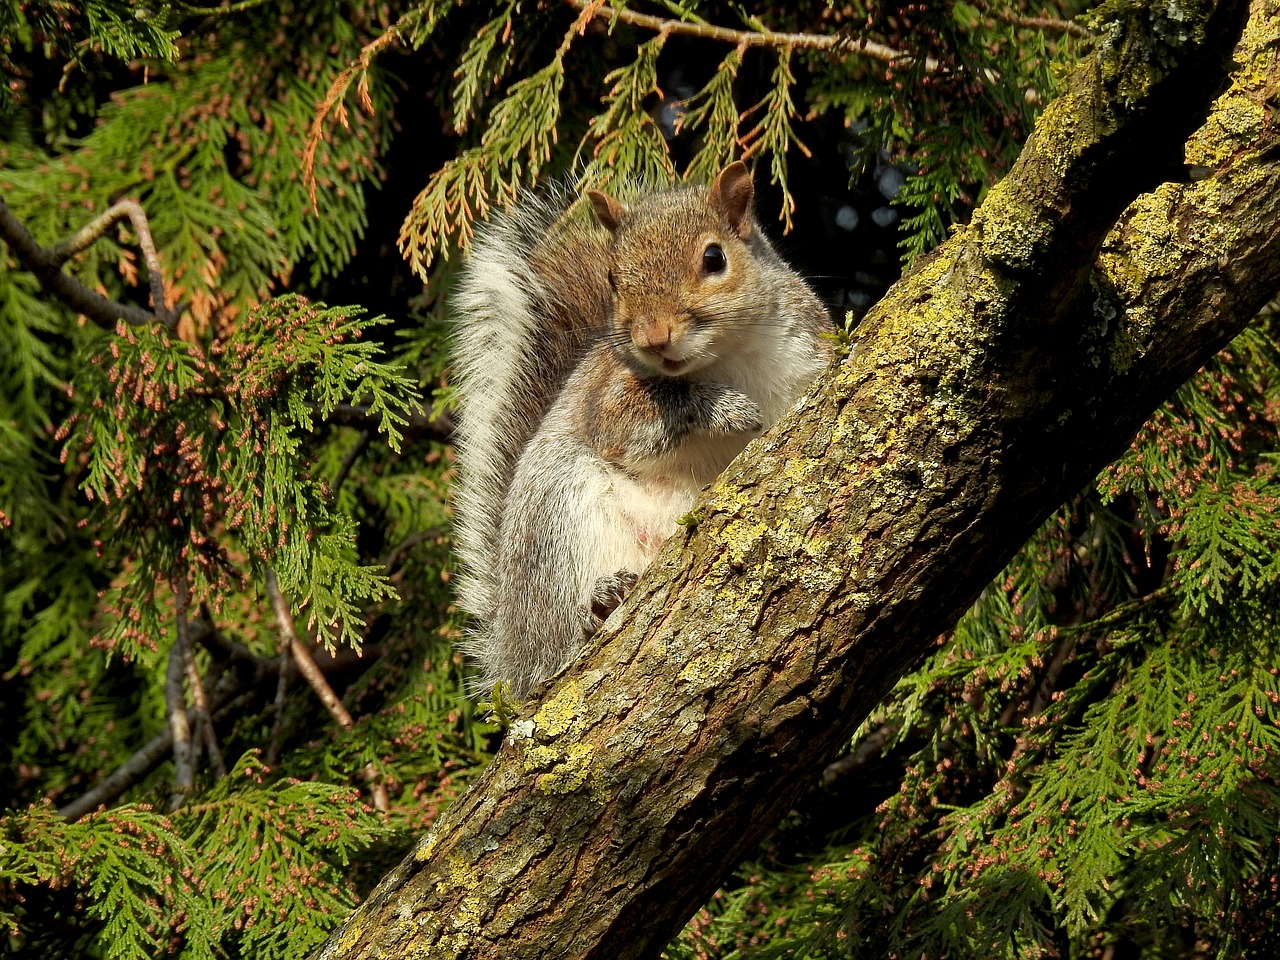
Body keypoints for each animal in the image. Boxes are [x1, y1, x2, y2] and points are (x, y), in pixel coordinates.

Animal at [450, 163, 829, 701]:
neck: (726, 358)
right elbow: (636, 421)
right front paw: (725, 409)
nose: (653, 338)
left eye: (714, 258)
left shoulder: (808, 350)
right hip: (560, 512)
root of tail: (510, 656)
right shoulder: (606, 396)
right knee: (557, 644)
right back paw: (597, 608)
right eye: (613, 278)